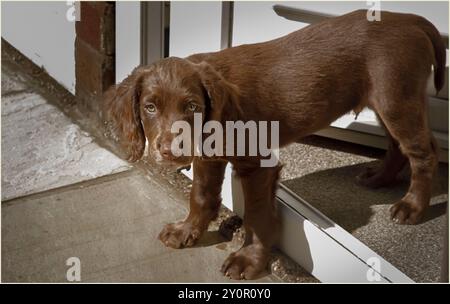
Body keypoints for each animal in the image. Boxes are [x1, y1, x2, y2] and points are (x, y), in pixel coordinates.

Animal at [103, 10, 444, 280]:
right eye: (149, 107)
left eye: (192, 107)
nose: (171, 150)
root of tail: (408, 18)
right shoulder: (209, 155)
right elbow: (200, 195)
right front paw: (188, 230)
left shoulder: (258, 164)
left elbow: (256, 213)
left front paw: (248, 259)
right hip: (386, 101)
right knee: (398, 145)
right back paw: (377, 179)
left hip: (396, 97)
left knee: (423, 151)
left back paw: (412, 207)